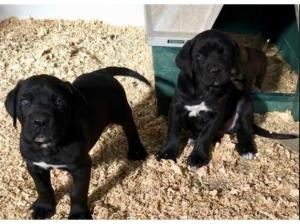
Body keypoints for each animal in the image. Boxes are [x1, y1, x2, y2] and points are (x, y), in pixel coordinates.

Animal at [4, 66, 149, 219]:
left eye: (59, 102)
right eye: (24, 102)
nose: (40, 121)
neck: (49, 147)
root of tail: (102, 72)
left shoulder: (80, 168)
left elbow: (77, 193)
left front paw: (78, 214)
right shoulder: (35, 165)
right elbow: (43, 188)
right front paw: (44, 207)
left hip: (121, 111)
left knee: (130, 128)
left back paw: (137, 151)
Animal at [157, 30, 298, 169]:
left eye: (224, 53)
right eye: (200, 56)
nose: (215, 70)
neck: (204, 90)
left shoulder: (215, 115)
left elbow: (205, 136)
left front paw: (198, 157)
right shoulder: (176, 108)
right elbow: (173, 132)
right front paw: (167, 154)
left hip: (245, 103)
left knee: (245, 130)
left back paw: (247, 149)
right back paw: (194, 137)